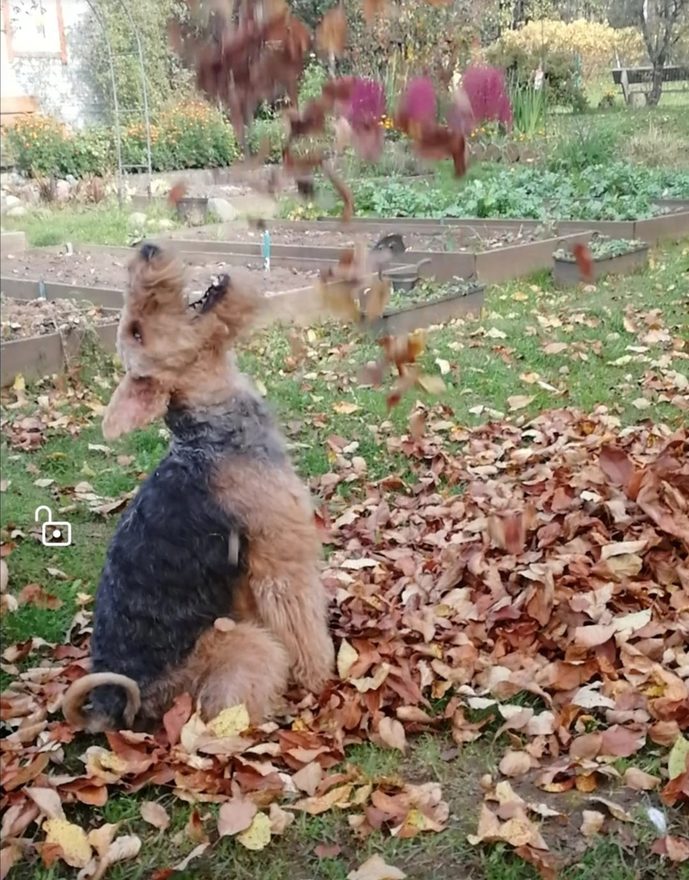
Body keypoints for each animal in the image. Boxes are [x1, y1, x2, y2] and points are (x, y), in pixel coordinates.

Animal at [61, 244, 336, 732]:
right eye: (135, 331)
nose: (146, 249)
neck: (208, 434)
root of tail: (108, 707)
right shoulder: (282, 561)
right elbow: (304, 626)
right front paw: (321, 674)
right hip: (241, 645)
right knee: (223, 711)